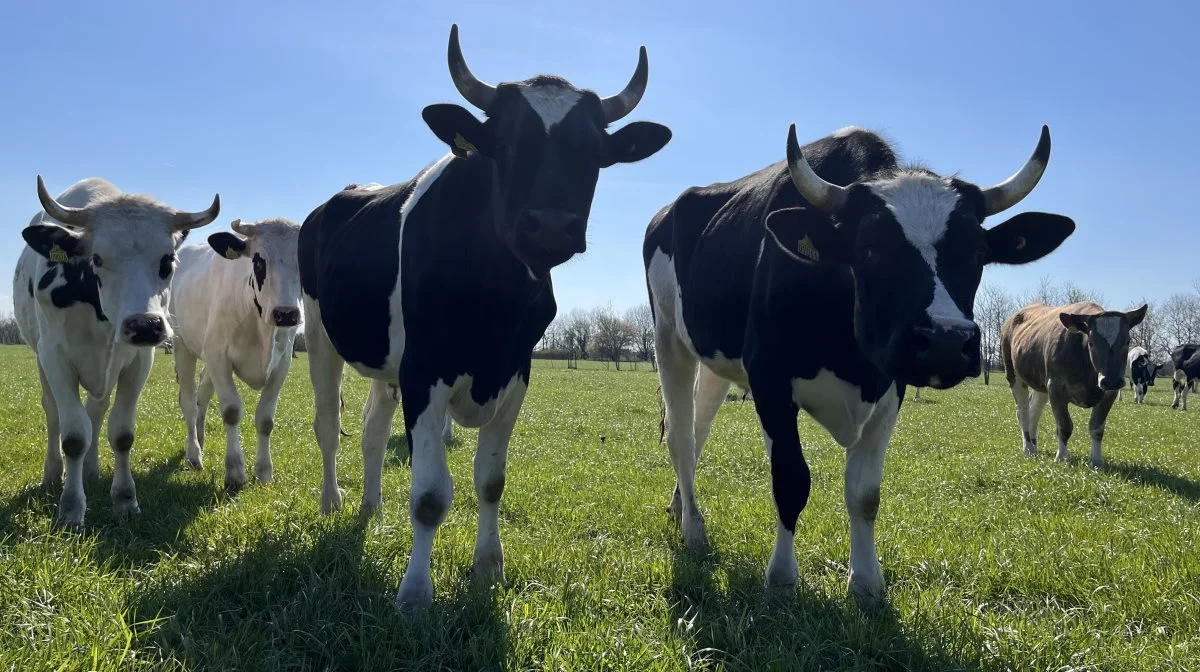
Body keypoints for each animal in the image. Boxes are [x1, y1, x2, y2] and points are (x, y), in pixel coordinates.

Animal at [166, 218, 302, 492]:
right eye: (258, 261)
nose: (286, 314)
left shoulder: (282, 365)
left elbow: (266, 419)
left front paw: (264, 472)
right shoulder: (218, 357)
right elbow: (231, 411)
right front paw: (235, 472)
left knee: (202, 395)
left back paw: (200, 439)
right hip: (182, 344)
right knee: (188, 401)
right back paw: (194, 453)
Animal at [297, 24, 676, 609]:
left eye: (593, 152)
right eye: (507, 144)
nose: (551, 225)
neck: (492, 302)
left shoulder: (516, 370)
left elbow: (490, 481)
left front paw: (488, 569)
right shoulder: (424, 371)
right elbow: (430, 495)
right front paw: (415, 593)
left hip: (387, 365)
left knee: (372, 429)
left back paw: (371, 507)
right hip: (320, 336)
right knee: (327, 424)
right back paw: (332, 501)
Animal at [643, 121, 1075, 609]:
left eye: (977, 253)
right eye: (870, 249)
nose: (946, 342)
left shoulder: (890, 388)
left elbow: (865, 494)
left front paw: (867, 585)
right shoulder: (770, 381)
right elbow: (790, 480)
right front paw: (782, 577)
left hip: (715, 362)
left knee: (698, 433)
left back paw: (681, 507)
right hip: (669, 340)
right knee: (680, 437)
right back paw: (693, 531)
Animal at [998, 303, 1147, 468]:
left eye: (1127, 341)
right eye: (1091, 342)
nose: (1112, 380)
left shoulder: (1109, 393)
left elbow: (1097, 428)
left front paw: (1097, 461)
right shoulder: (1055, 388)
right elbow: (1064, 427)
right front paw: (1062, 457)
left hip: (1041, 383)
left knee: (1034, 409)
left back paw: (1033, 444)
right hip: (1013, 375)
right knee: (1022, 411)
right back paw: (1028, 449)